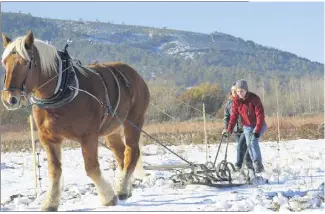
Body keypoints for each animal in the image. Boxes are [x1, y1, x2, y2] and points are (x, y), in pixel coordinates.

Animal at [0, 30, 149, 211]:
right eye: (4, 62)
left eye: (25, 63)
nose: (9, 99)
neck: (63, 90)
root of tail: (135, 74)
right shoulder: (48, 139)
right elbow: (54, 170)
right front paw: (50, 203)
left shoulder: (88, 137)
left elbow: (91, 168)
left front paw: (108, 197)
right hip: (112, 129)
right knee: (121, 154)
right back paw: (125, 188)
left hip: (133, 121)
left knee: (132, 151)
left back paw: (120, 189)